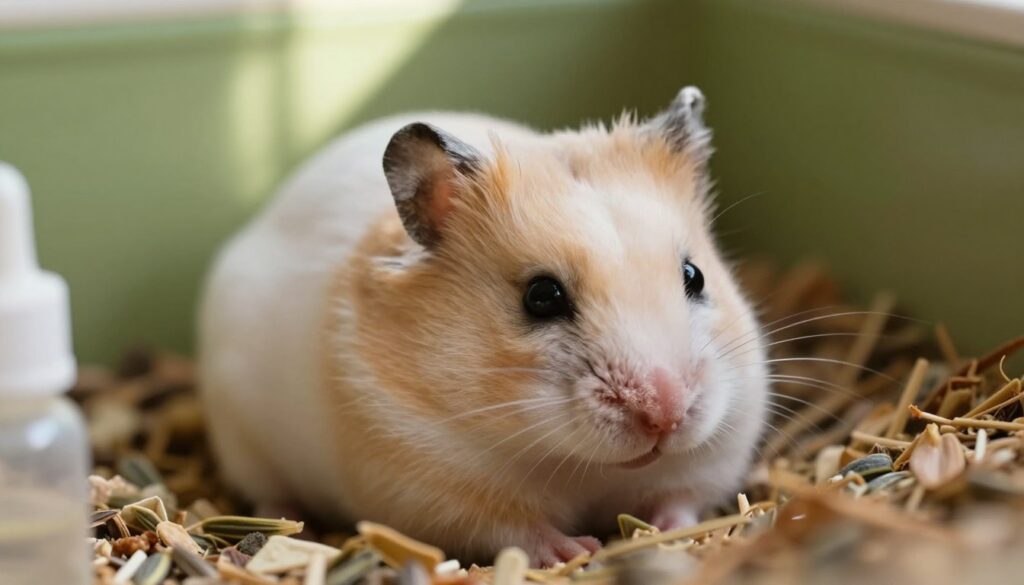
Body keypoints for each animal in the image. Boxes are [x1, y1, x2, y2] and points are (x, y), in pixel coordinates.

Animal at [198, 86, 768, 567]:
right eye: (541, 297)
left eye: (694, 276)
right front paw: (576, 550)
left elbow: (682, 501)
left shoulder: (712, 458)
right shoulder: (431, 489)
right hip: (246, 443)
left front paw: (663, 533)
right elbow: (516, 531)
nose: (665, 414)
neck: (580, 465)